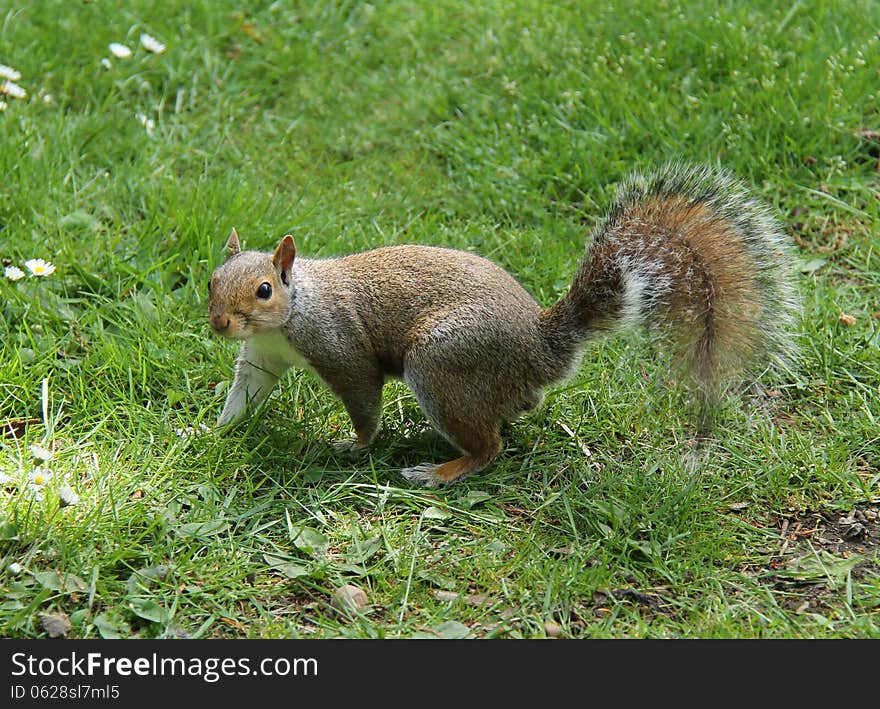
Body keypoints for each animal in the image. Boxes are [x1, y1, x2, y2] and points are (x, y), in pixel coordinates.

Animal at [206, 165, 796, 486]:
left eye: (264, 289)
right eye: (210, 280)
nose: (219, 323)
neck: (291, 312)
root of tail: (539, 348)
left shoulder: (340, 349)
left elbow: (363, 399)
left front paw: (354, 446)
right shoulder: (261, 358)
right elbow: (245, 395)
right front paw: (213, 430)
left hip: (441, 363)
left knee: (489, 448)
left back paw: (440, 471)